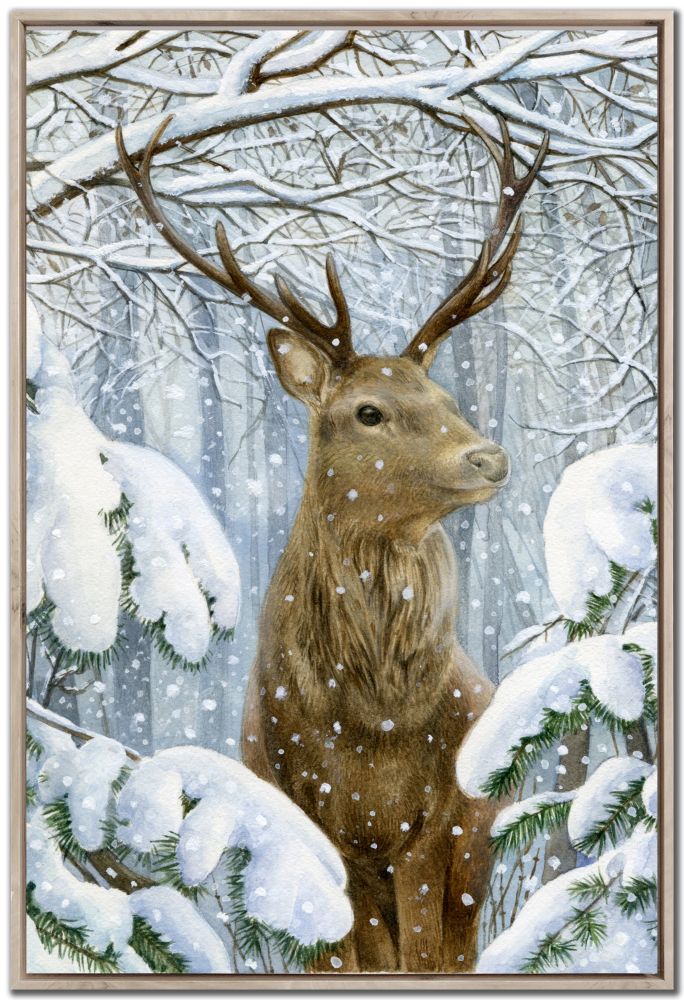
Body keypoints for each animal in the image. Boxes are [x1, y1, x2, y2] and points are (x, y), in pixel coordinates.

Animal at [117, 115, 548, 974]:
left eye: (445, 397)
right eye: (369, 412)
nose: (489, 457)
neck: (371, 721)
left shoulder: (435, 825)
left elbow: (421, 960)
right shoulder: (322, 831)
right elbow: (363, 957)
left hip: (476, 852)